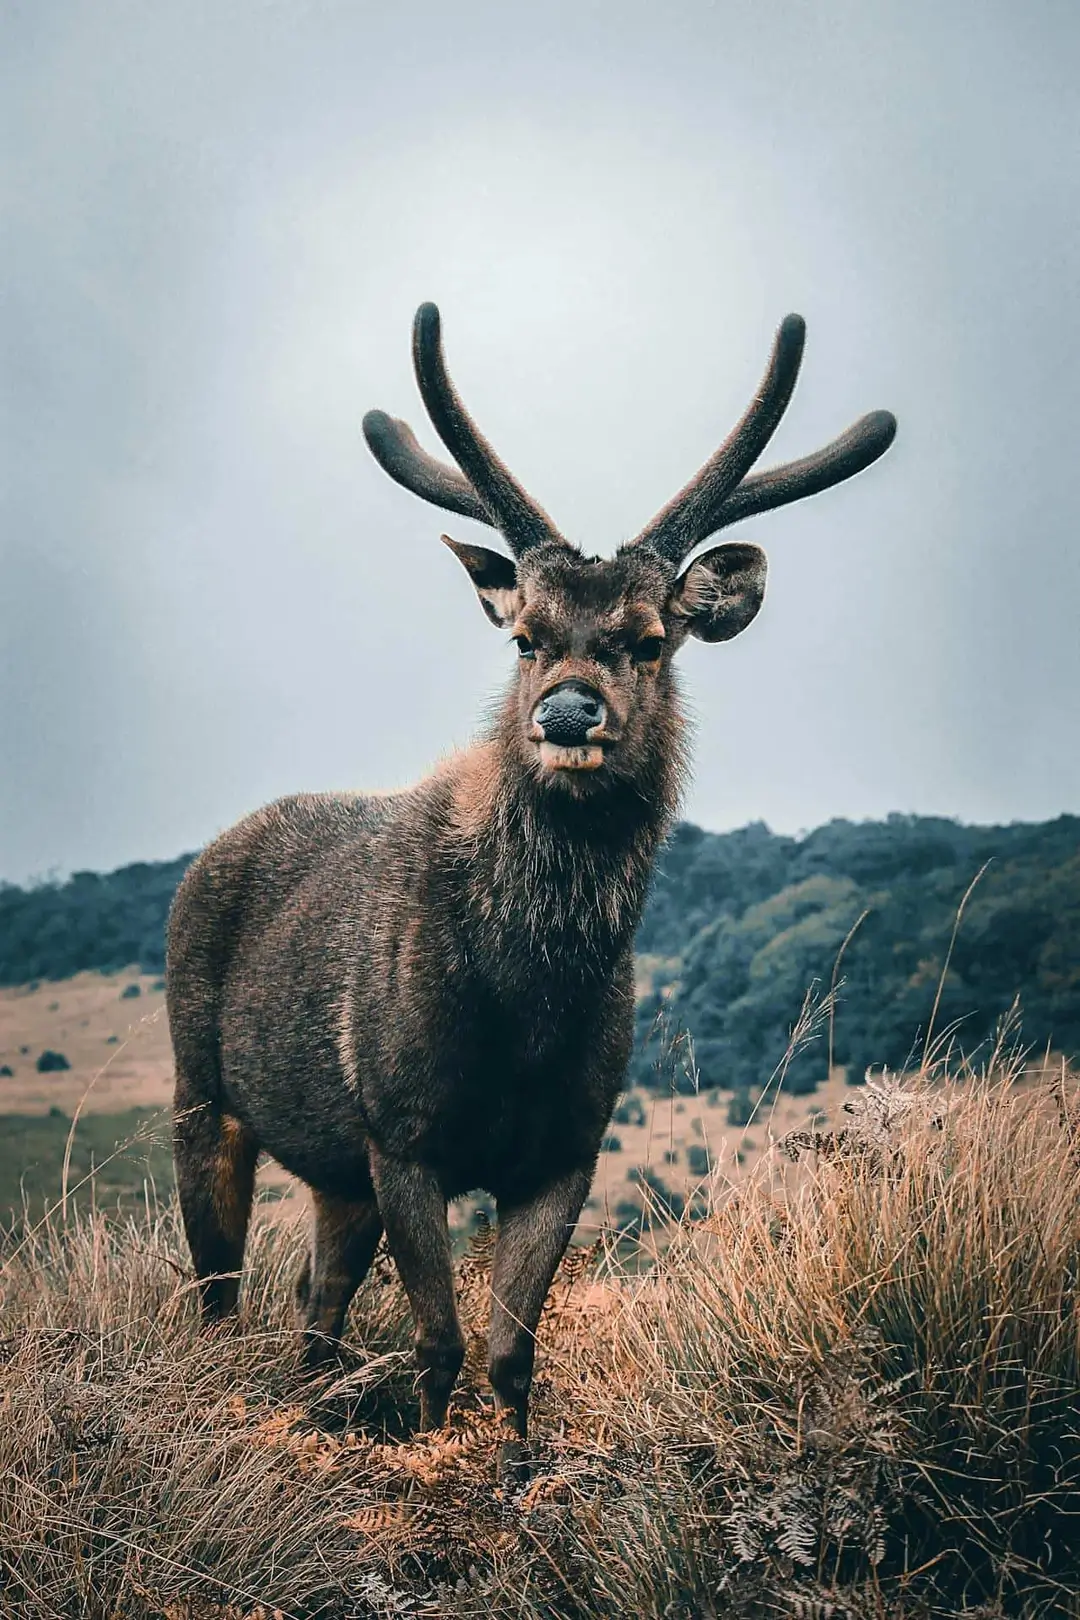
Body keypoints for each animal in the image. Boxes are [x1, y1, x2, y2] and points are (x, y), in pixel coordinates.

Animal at [165, 301, 896, 1480]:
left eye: (649, 639)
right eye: (524, 637)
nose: (565, 713)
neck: (525, 1003)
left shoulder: (566, 1145)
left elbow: (512, 1352)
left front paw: (513, 1475)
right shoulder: (403, 1128)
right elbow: (439, 1343)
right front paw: (429, 1464)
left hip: (333, 1170)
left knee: (315, 1294)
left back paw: (316, 1408)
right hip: (202, 1089)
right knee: (219, 1289)